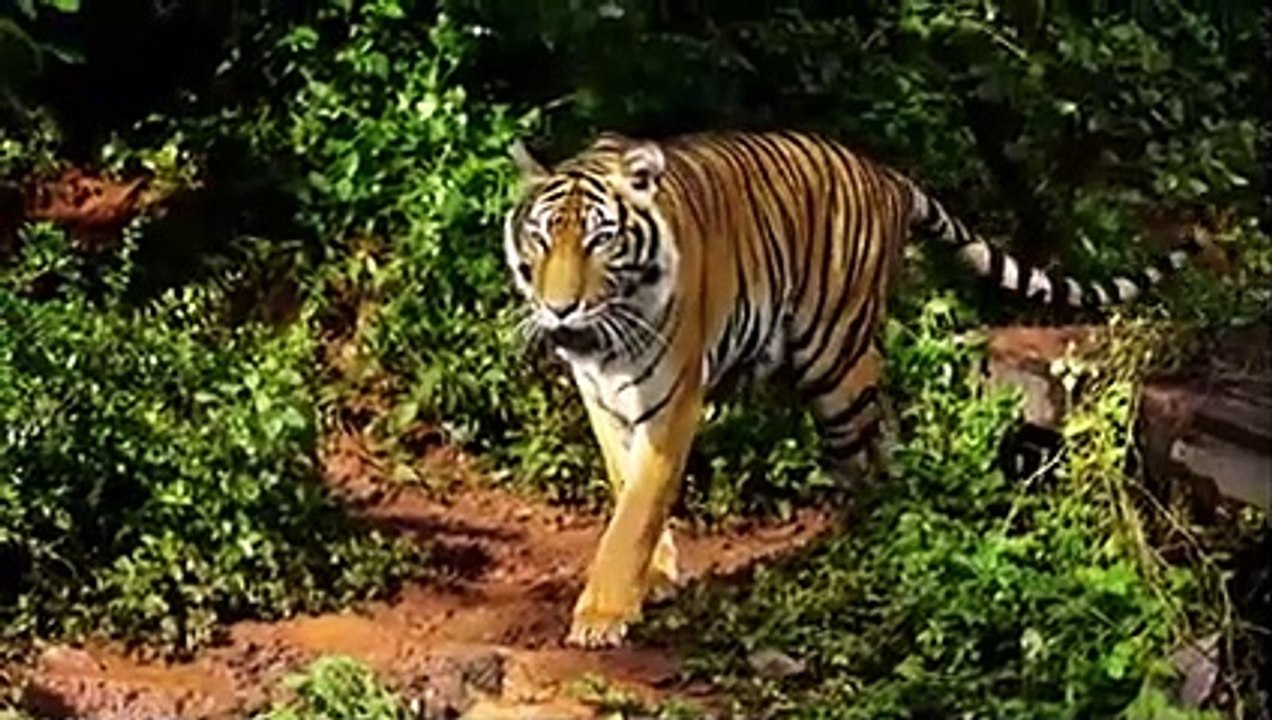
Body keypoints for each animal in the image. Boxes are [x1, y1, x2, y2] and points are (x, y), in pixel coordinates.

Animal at [502, 130, 1202, 648]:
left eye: (599, 239)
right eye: (541, 236)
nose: (558, 309)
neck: (604, 339)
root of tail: (885, 173)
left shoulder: (675, 397)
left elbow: (639, 506)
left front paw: (603, 614)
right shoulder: (602, 397)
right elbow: (626, 486)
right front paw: (657, 575)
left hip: (833, 362)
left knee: (860, 461)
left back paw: (852, 555)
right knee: (885, 436)